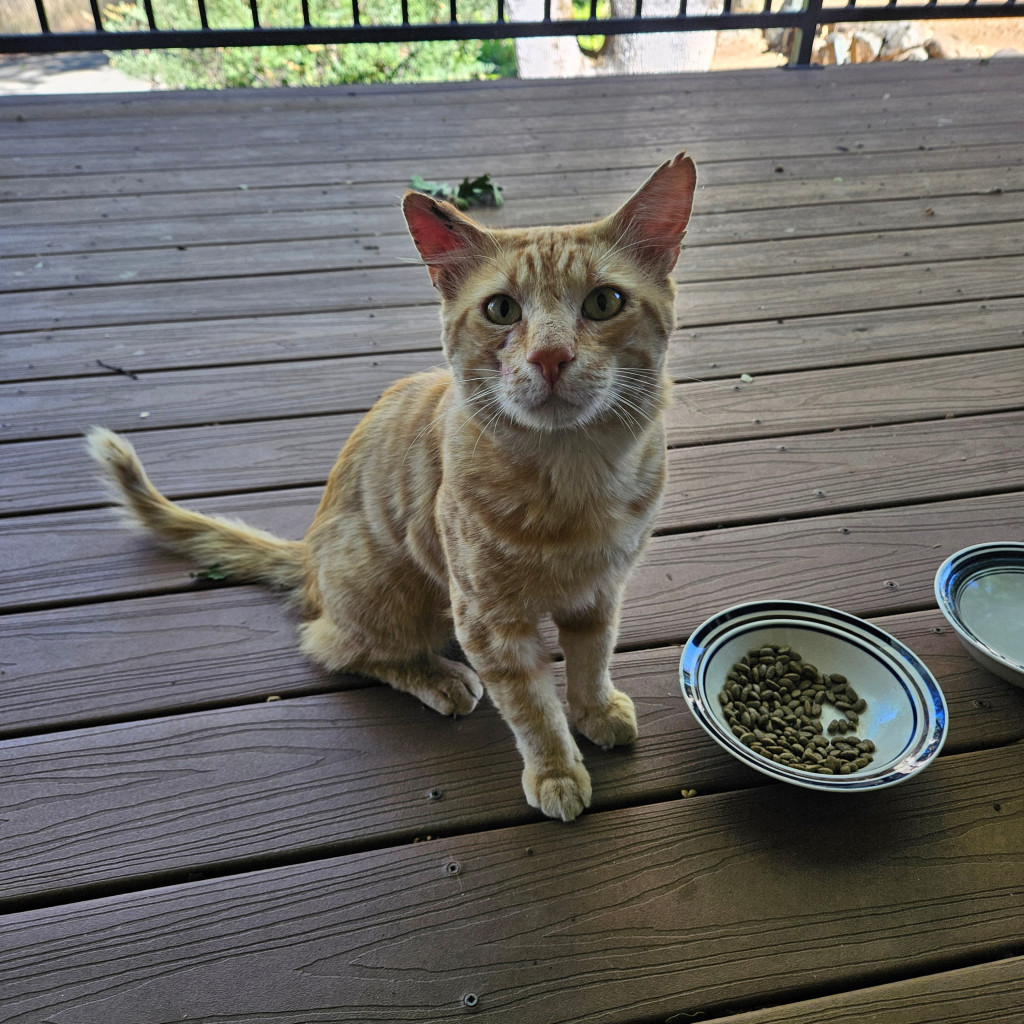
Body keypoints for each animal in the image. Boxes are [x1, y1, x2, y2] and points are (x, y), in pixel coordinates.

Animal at [88, 153, 696, 823]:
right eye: (502, 310)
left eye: (604, 301)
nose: (551, 356)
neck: (575, 480)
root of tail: (309, 557)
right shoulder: (487, 620)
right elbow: (531, 707)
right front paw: (556, 771)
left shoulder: (601, 592)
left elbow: (592, 660)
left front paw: (594, 711)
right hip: (388, 589)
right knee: (335, 646)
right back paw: (441, 677)